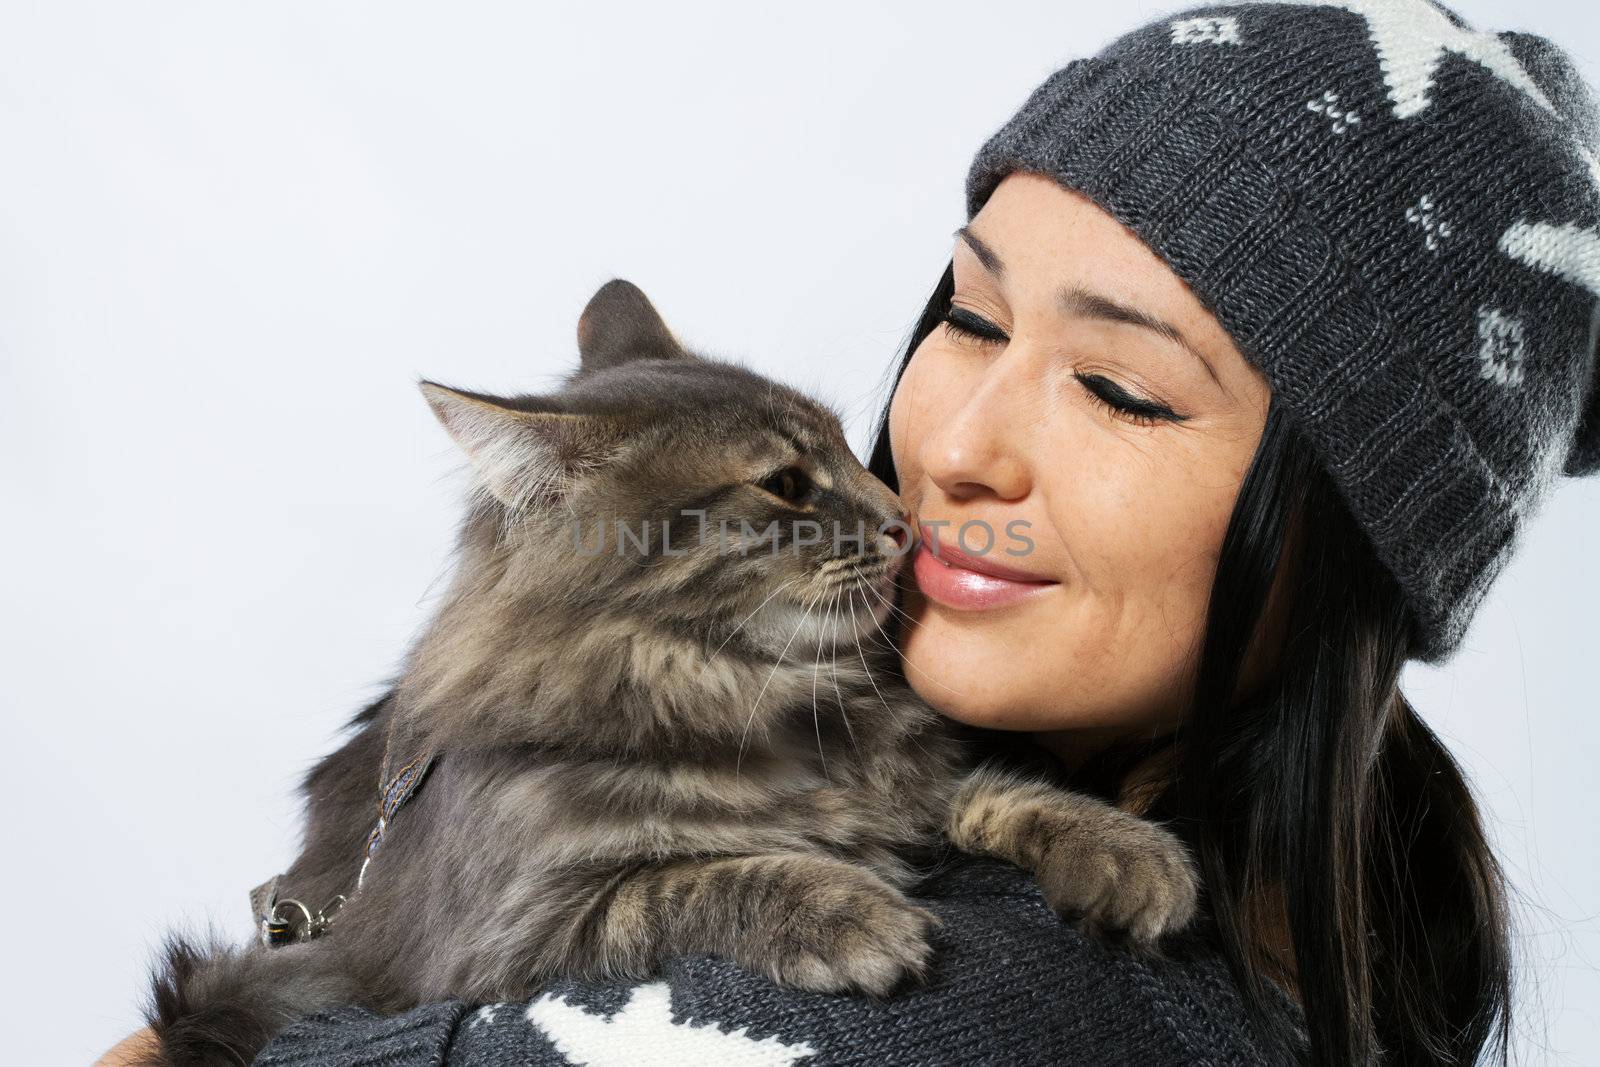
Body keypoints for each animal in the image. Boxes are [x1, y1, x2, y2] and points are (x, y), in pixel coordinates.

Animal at [144, 279, 1196, 1062]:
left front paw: (1130, 853)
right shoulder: (495, 946)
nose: (901, 518)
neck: (749, 689)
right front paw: (850, 912)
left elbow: (996, 790)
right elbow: (701, 879)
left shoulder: (912, 788)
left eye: (850, 449)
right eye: (785, 485)